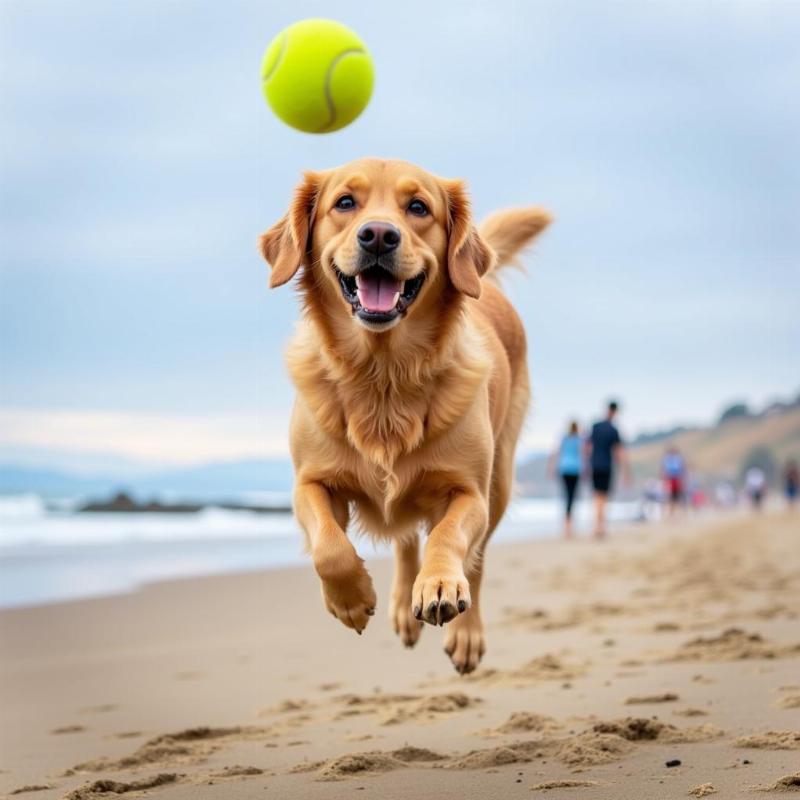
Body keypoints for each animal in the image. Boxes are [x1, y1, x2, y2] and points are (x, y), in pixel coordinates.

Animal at [260, 161, 548, 676]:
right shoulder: (310, 482)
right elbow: (329, 547)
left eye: (418, 207)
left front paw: (439, 586)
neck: (384, 375)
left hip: (500, 481)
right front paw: (352, 600)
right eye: (345, 203)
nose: (378, 235)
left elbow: (450, 539)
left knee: (475, 559)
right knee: (405, 537)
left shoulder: (470, 491)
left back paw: (466, 632)